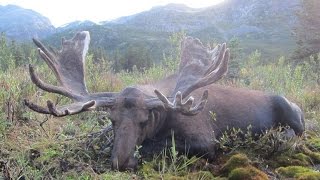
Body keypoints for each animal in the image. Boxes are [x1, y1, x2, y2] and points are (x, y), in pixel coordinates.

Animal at [23, 31, 304, 171]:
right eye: (112, 120)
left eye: (144, 120)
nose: (121, 162)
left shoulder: (205, 139)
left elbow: (159, 145)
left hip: (290, 110)